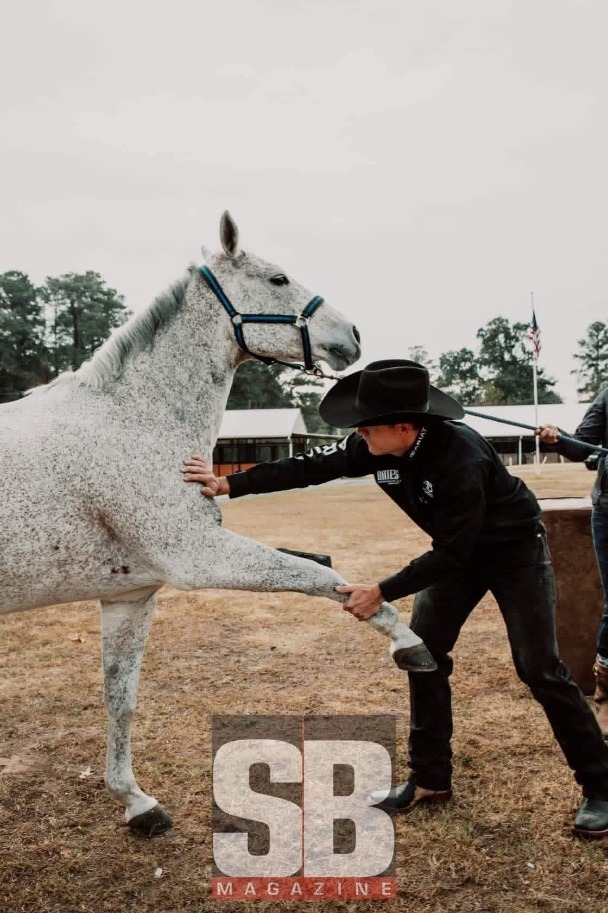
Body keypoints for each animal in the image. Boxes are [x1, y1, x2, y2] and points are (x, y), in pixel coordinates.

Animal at [0, 212, 434, 837]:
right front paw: (405, 640)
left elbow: (119, 698)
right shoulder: (199, 557)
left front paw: (136, 802)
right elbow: (317, 576)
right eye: (278, 279)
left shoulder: (130, 595)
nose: (351, 334)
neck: (134, 421)